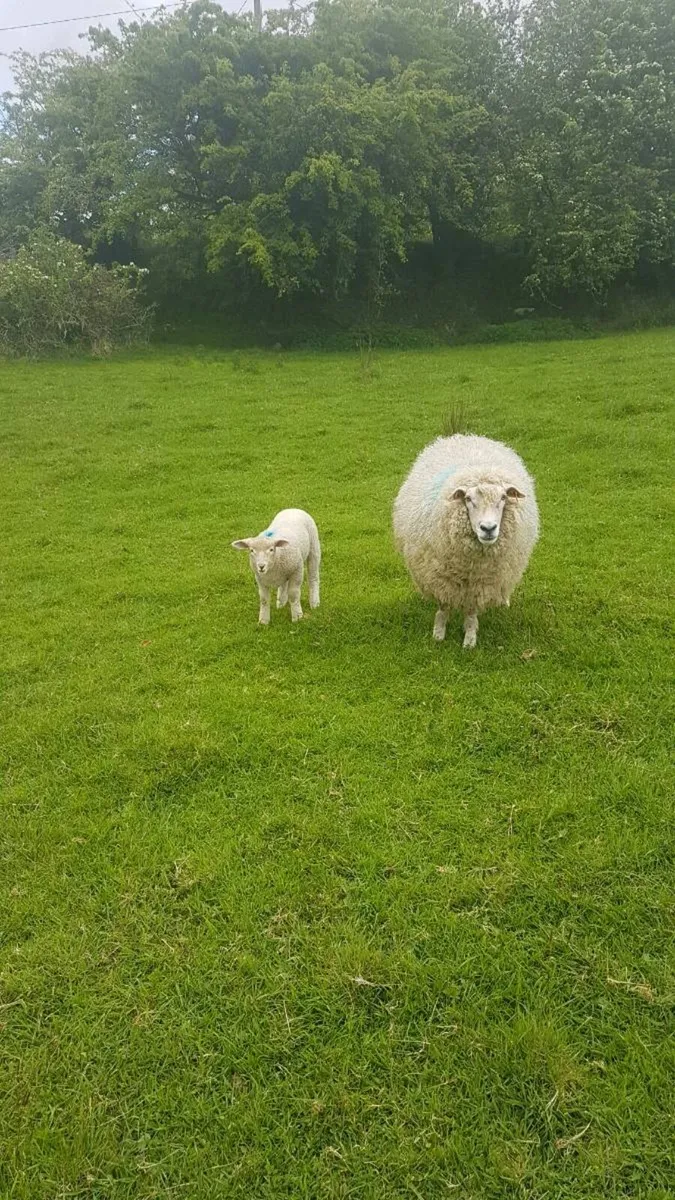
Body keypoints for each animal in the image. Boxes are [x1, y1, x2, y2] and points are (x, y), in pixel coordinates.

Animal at [393, 434, 539, 647]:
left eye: (504, 497)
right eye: (468, 499)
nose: (488, 528)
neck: (471, 566)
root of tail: (466, 437)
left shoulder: (480, 583)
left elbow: (471, 611)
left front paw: (469, 638)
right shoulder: (440, 576)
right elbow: (444, 605)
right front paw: (439, 633)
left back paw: (504, 601)